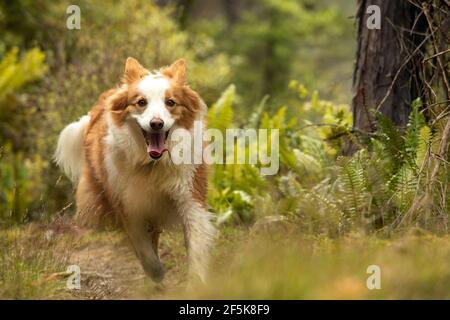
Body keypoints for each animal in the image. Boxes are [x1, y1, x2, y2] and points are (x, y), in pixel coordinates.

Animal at [54, 57, 216, 282]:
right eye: (141, 102)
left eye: (170, 102)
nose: (156, 124)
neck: (153, 164)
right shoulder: (127, 203)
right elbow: (143, 247)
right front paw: (156, 272)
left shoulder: (190, 195)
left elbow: (196, 244)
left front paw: (196, 282)